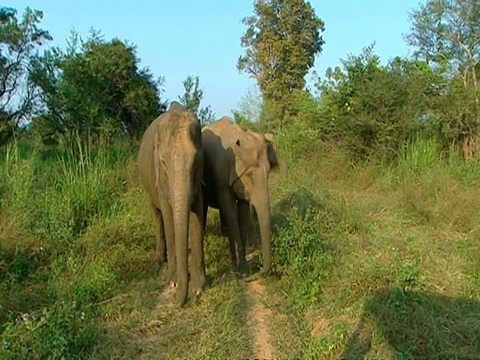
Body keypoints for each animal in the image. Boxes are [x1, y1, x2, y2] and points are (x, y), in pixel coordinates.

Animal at [138, 101, 207, 306]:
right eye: (163, 162)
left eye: (196, 161)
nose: (177, 302)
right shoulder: (160, 180)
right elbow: (169, 218)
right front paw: (173, 283)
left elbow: (197, 214)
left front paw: (199, 288)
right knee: (157, 214)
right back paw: (160, 259)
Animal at [202, 117, 278, 272]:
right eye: (249, 175)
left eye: (268, 172)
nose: (261, 269)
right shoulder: (221, 175)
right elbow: (230, 212)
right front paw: (241, 270)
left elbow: (243, 213)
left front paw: (243, 267)